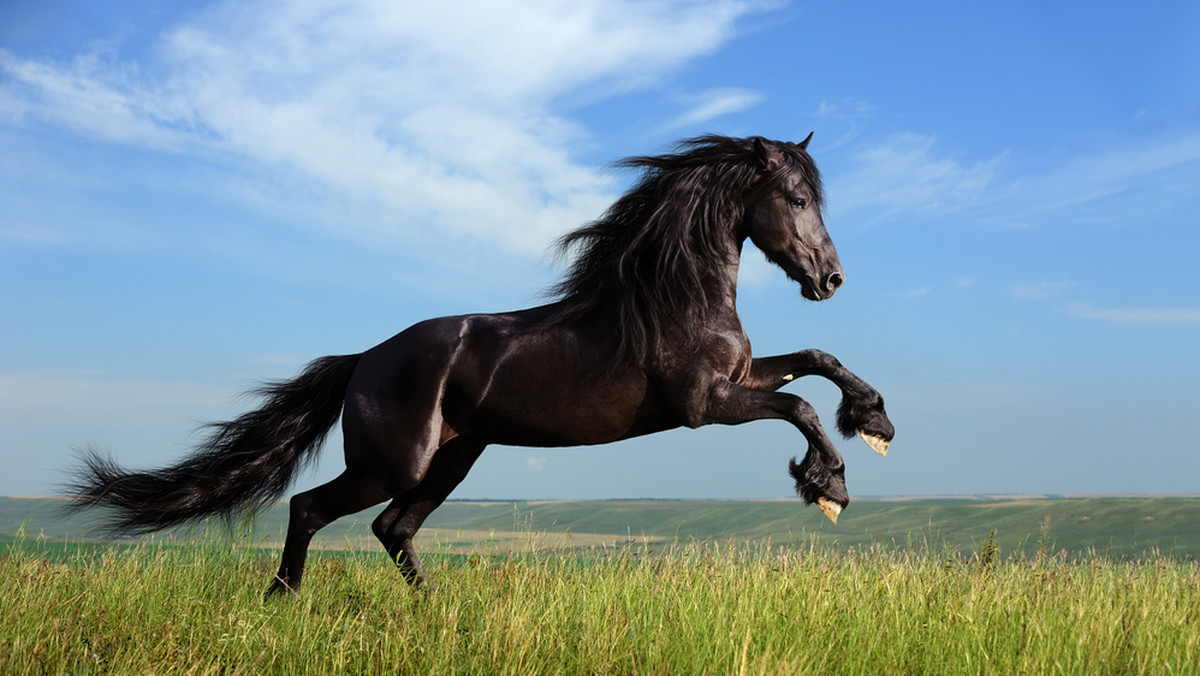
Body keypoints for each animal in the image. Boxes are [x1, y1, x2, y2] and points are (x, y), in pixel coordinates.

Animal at [65, 135, 892, 595]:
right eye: (795, 198)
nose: (831, 279)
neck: (673, 296)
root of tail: (363, 361)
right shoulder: (703, 403)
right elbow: (800, 405)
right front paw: (828, 486)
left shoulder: (740, 378)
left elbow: (816, 360)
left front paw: (874, 421)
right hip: (393, 461)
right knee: (312, 509)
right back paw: (283, 600)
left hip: (454, 458)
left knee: (393, 528)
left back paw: (434, 609)